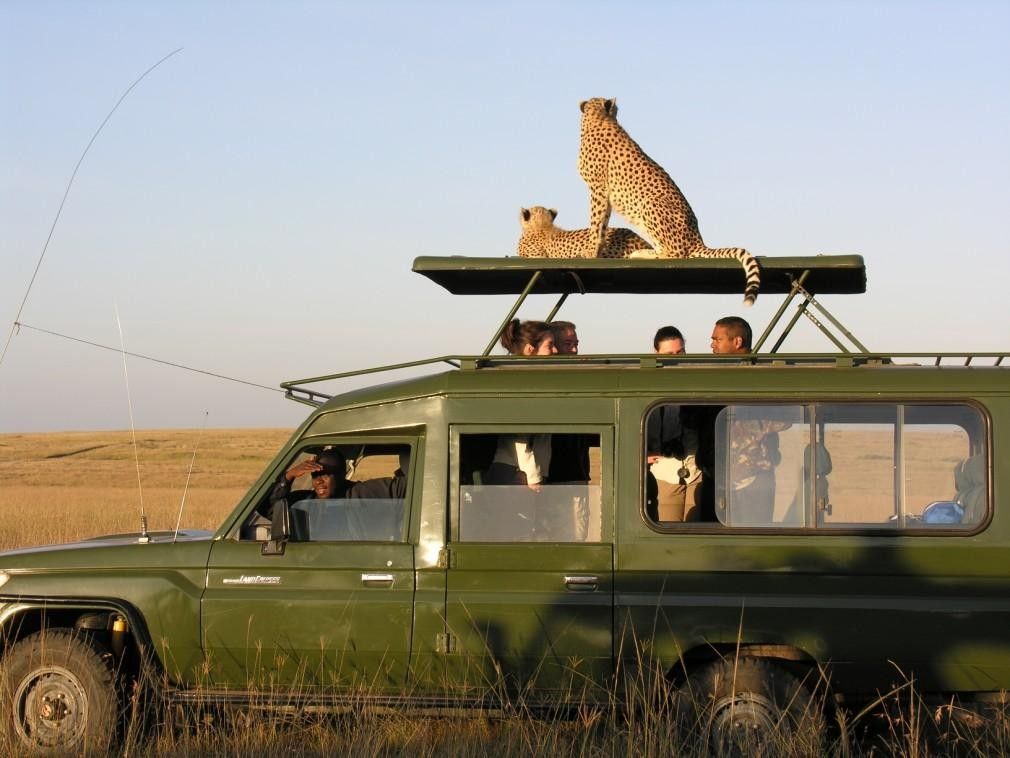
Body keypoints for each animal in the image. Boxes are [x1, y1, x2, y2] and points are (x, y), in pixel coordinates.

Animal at [577, 98, 759, 305]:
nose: (617, 111)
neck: (596, 119)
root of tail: (698, 239)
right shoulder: (602, 193)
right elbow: (602, 223)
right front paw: (595, 251)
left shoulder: (599, 190)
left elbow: (596, 223)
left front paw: (590, 252)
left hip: (649, 203)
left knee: (677, 254)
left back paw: (645, 254)